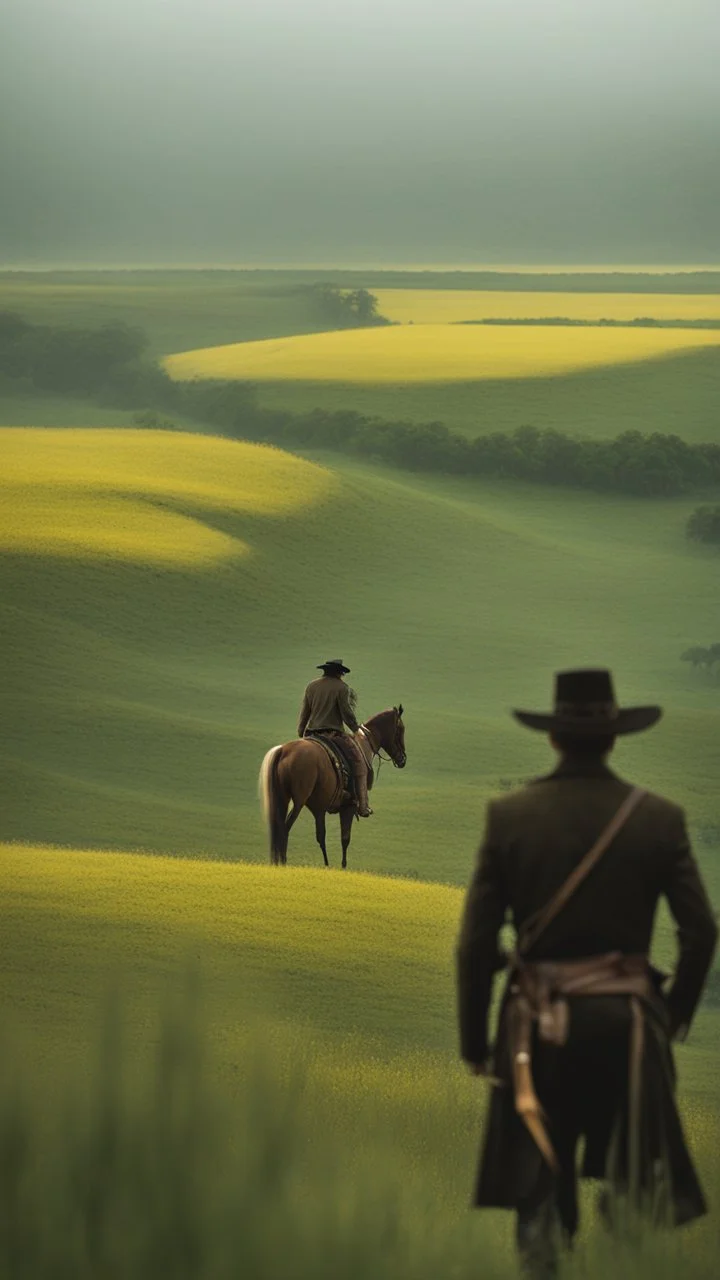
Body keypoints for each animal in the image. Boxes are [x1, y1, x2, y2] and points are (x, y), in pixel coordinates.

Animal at [257, 711, 404, 870]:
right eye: (401, 730)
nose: (403, 759)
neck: (363, 746)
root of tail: (283, 750)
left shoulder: (319, 809)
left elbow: (321, 836)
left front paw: (327, 865)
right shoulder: (348, 807)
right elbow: (345, 838)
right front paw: (343, 866)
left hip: (282, 799)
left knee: (277, 829)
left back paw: (276, 863)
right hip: (298, 802)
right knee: (284, 828)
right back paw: (283, 863)